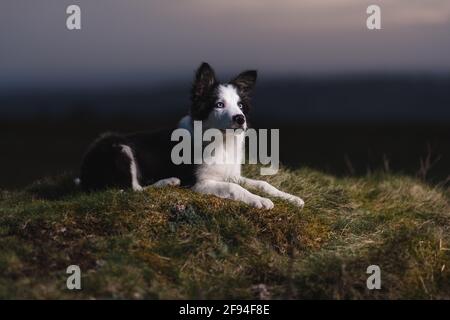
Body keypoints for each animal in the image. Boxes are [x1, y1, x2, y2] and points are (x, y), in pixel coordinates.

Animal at [77, 62, 304, 210]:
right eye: (219, 104)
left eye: (240, 105)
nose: (240, 119)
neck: (221, 141)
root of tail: (84, 173)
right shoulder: (198, 182)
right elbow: (233, 188)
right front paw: (260, 201)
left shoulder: (230, 173)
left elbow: (263, 183)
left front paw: (291, 198)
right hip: (119, 148)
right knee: (133, 189)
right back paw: (167, 182)